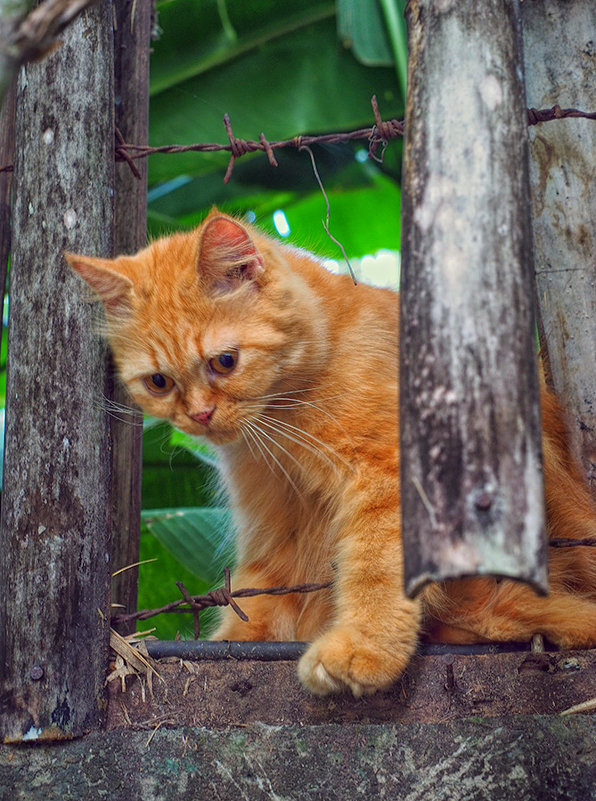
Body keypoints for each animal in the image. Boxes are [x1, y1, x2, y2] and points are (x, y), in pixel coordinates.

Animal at [66, 211, 596, 692]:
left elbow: (375, 570)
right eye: (159, 382)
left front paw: (365, 647)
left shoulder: (393, 476)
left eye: (225, 362)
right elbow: (258, 601)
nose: (198, 415)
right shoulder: (276, 524)